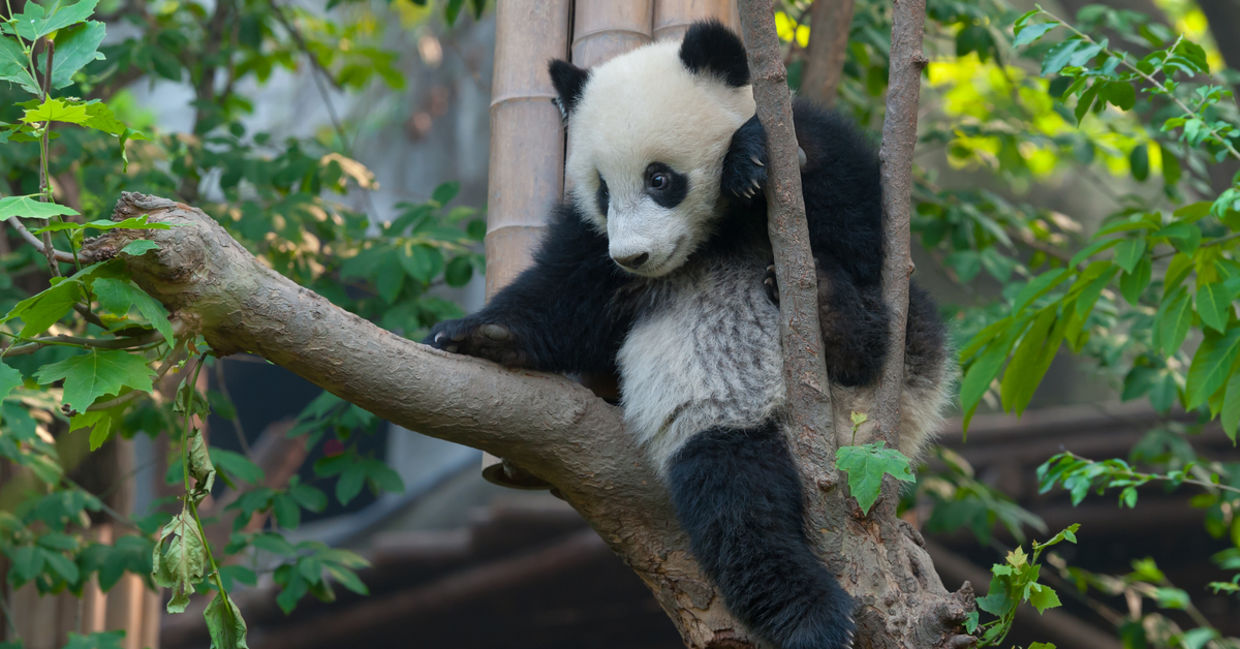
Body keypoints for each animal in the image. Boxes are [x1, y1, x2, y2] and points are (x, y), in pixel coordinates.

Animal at [427, 21, 951, 649]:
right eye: (603, 191)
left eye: (660, 179)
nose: (633, 257)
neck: (711, 239)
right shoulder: (592, 247)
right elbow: (564, 298)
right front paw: (479, 333)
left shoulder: (817, 158)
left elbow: (856, 226)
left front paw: (753, 156)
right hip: (720, 427)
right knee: (737, 505)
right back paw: (809, 613)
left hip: (903, 376)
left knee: (894, 330)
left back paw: (836, 319)